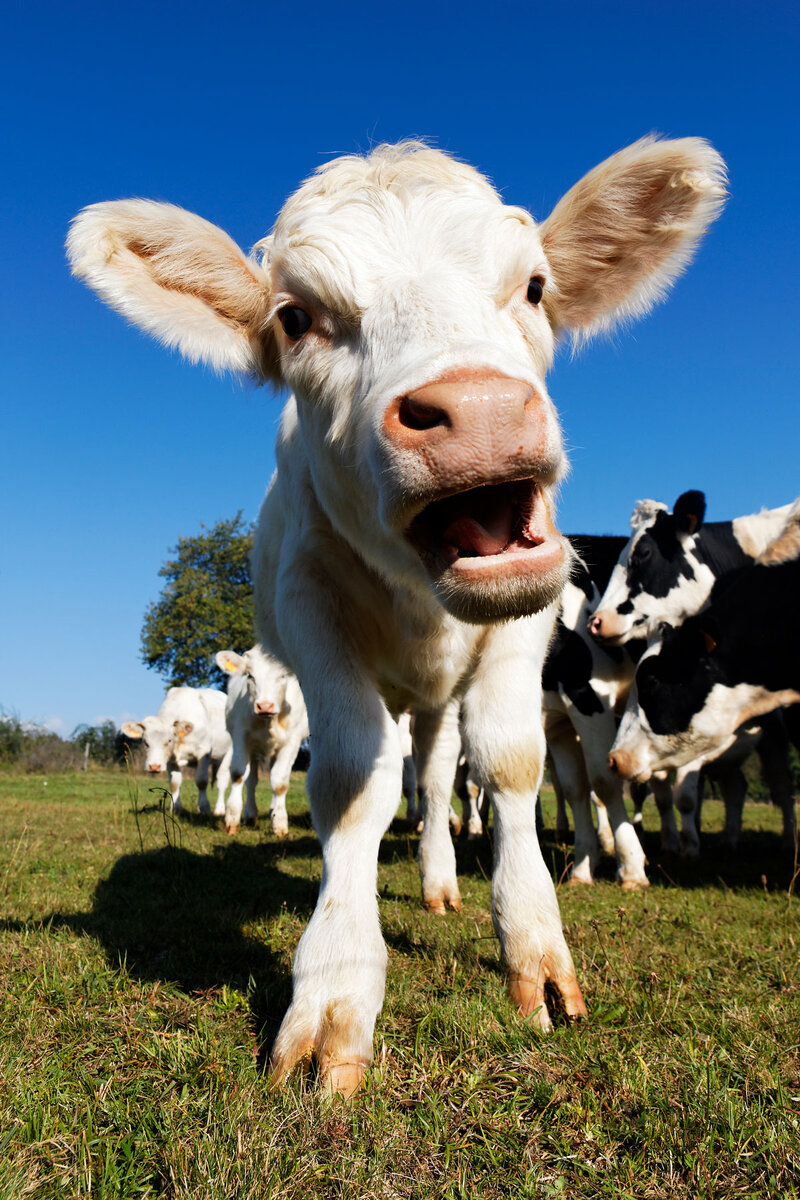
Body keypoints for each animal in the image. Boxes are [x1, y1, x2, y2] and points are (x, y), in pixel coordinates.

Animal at [120, 686, 231, 816]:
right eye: (145, 742)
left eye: (169, 740)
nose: (154, 766)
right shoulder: (170, 760)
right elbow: (174, 783)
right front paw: (175, 809)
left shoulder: (204, 752)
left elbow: (201, 781)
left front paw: (204, 808)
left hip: (230, 753)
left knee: (222, 780)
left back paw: (220, 809)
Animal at [215, 648, 309, 835]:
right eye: (250, 675)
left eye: (283, 675)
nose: (265, 705)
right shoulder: (240, 737)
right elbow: (238, 774)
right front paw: (232, 819)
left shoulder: (292, 742)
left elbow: (279, 782)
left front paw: (279, 823)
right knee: (251, 781)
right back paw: (251, 815)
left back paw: (273, 810)